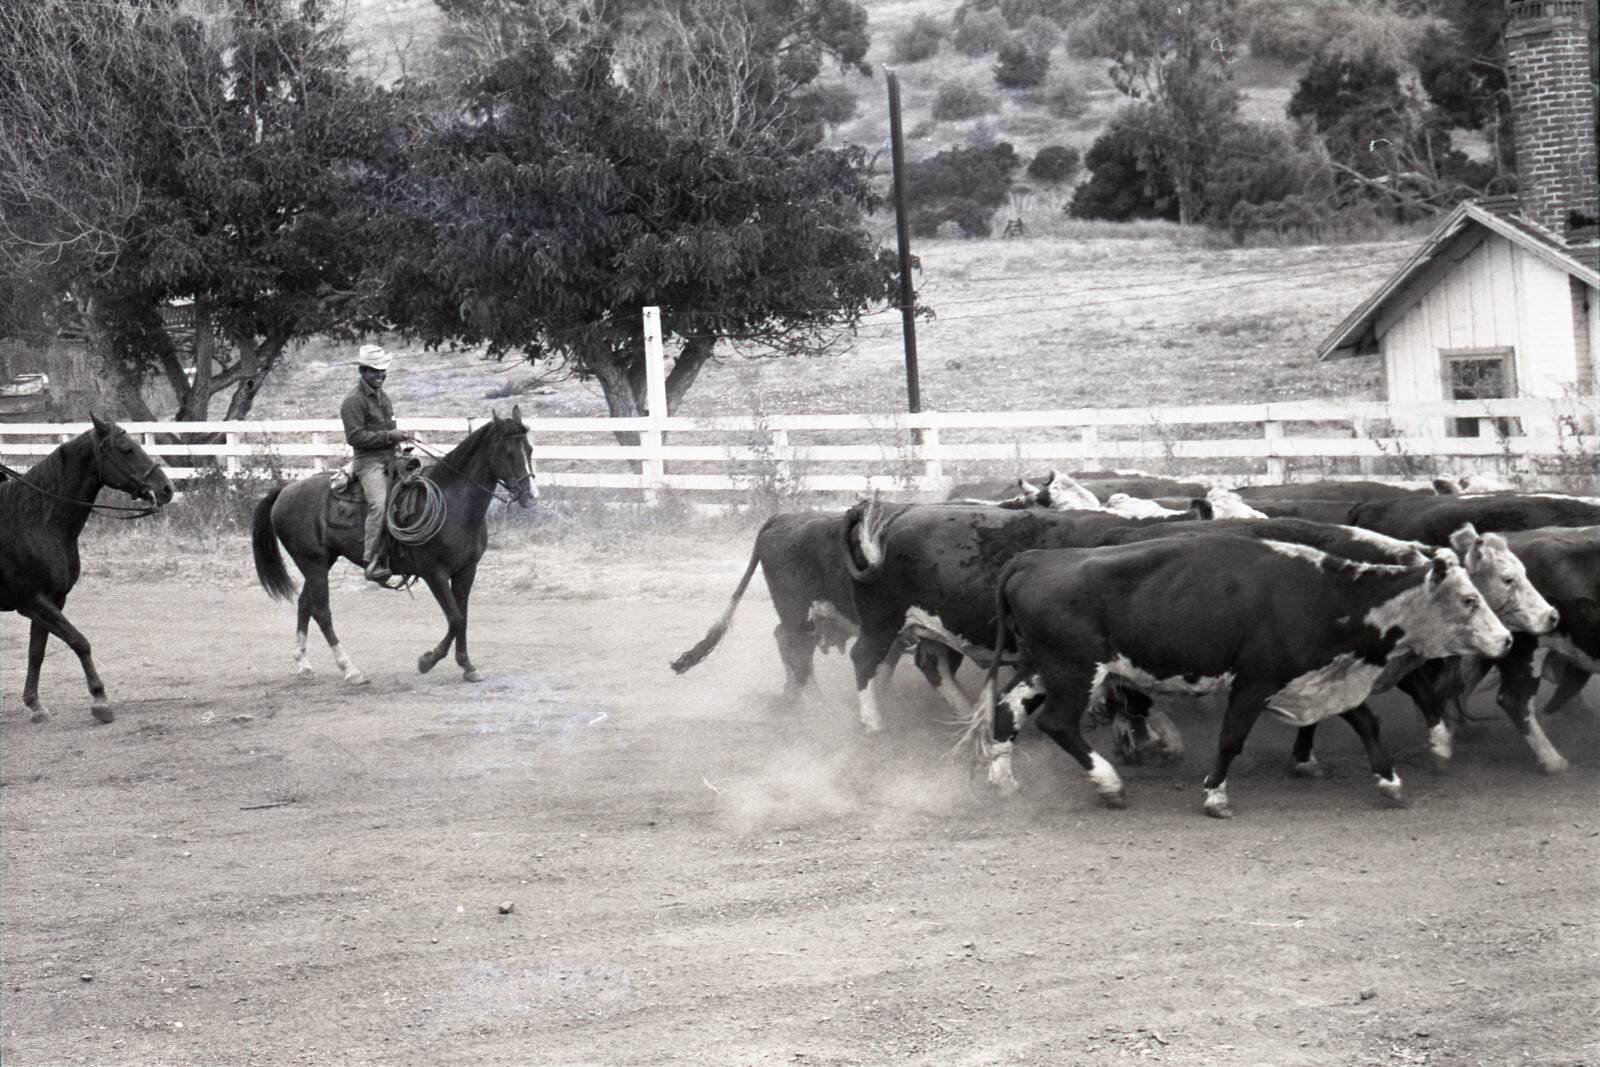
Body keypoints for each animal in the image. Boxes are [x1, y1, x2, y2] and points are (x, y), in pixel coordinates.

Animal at [0, 412, 173, 723]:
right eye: (126, 449)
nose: (166, 489)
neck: (33, 522)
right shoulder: (33, 601)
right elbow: (79, 641)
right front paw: (100, 700)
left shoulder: (53, 600)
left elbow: (37, 652)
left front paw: (35, 704)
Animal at [251, 409, 537, 684]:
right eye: (509, 452)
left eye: (531, 449)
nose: (531, 495)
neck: (452, 502)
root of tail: (286, 490)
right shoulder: (434, 572)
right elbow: (455, 618)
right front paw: (427, 660)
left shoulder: (466, 570)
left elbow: (462, 617)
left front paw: (467, 666)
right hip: (313, 562)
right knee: (322, 612)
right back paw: (350, 670)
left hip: (322, 562)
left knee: (304, 605)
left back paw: (303, 664)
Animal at [972, 534, 1510, 819]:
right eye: (1469, 599)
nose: (1505, 640)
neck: (1320, 595)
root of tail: (1035, 558)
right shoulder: (1254, 682)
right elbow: (1231, 738)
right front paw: (1215, 795)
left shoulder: (1323, 675)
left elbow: (1366, 724)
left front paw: (1391, 781)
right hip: (1073, 670)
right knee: (1056, 724)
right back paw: (1109, 785)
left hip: (1040, 668)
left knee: (1006, 713)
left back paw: (1005, 783)